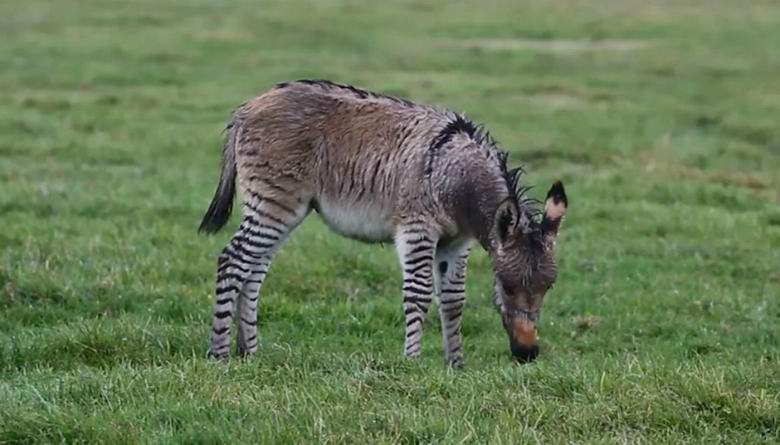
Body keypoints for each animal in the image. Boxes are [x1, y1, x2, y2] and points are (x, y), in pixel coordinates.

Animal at [199, 80, 568, 366]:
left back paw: (249, 352)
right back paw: (219, 354)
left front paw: (456, 365)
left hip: (284, 210)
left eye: (548, 288)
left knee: (253, 270)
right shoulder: (417, 229)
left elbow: (453, 300)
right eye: (507, 286)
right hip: (274, 202)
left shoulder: (456, 242)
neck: (455, 174)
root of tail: (247, 107)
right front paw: (413, 362)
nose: (527, 354)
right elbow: (419, 292)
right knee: (233, 260)